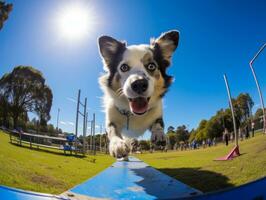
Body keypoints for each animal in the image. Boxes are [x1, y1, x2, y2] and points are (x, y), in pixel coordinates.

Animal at [97, 29, 179, 159]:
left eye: (151, 66)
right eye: (124, 67)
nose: (139, 84)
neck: (134, 114)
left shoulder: (157, 114)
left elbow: (158, 124)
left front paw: (159, 135)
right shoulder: (111, 120)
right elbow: (112, 131)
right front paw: (117, 145)